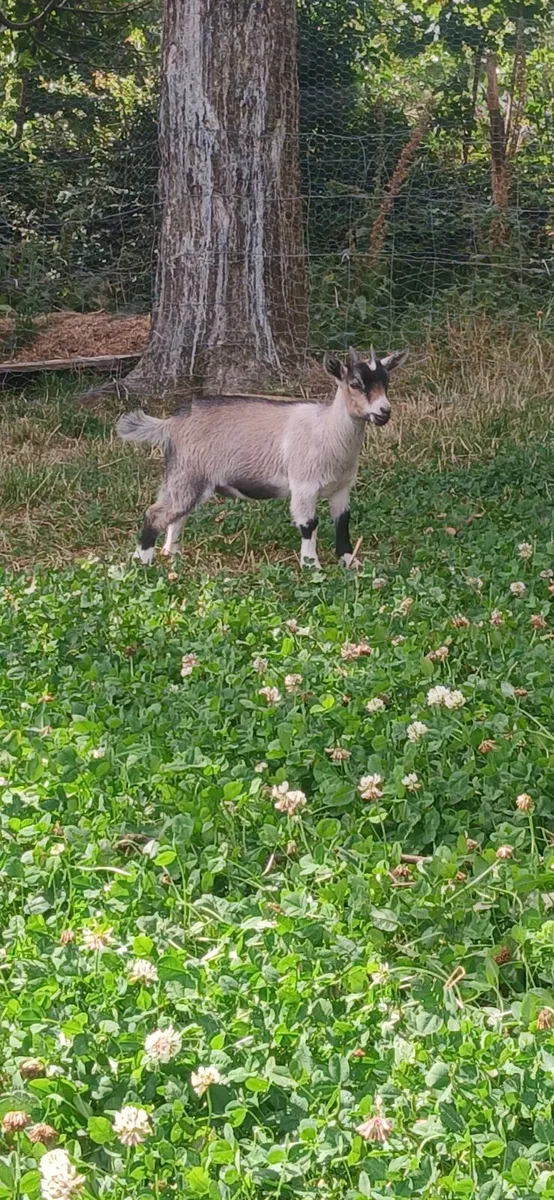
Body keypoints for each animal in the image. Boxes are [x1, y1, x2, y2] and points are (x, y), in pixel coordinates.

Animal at [116, 345, 408, 568]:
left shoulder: (341, 487)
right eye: (355, 384)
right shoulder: (304, 485)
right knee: (156, 513)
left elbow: (343, 521)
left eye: (386, 382)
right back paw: (143, 560)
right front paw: (311, 566)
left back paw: (172, 552)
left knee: (178, 514)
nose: (384, 411)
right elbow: (308, 524)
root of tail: (170, 424)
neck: (327, 429)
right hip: (188, 472)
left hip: (188, 479)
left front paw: (350, 561)